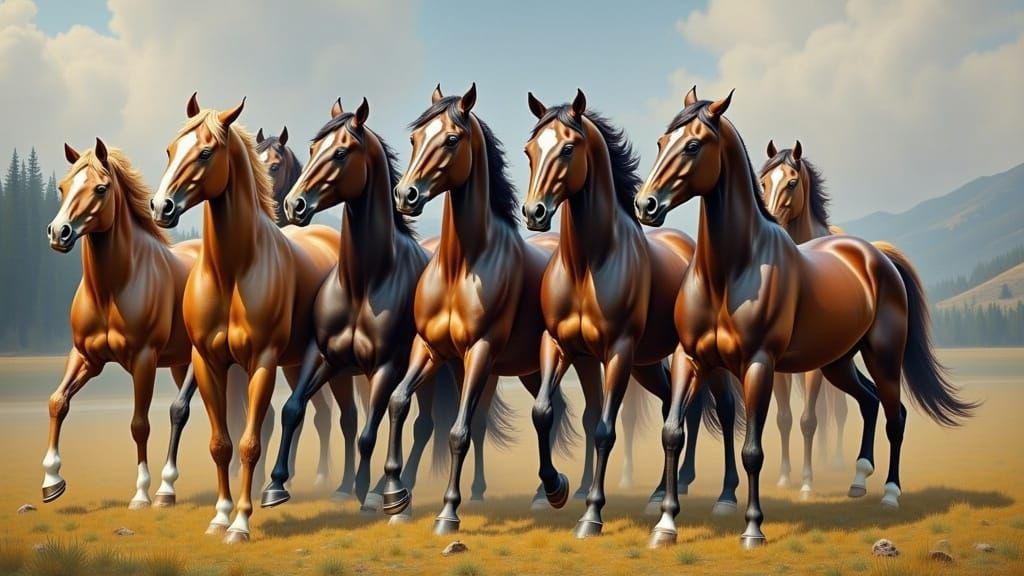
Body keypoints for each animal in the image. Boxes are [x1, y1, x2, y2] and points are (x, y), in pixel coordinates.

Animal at [43, 140, 206, 509]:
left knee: (182, 410)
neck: (112, 289)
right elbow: (58, 401)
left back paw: (166, 491)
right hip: (180, 363)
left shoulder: (143, 360)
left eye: (101, 189)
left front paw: (142, 494)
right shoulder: (85, 357)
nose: (59, 233)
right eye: (62, 187)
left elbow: (139, 424)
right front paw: (51, 482)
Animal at [379, 84, 603, 535]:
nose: (406, 196)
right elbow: (398, 401)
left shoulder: (480, 351)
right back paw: (546, 491)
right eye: (414, 138)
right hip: (530, 369)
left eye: (451, 139)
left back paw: (568, 491)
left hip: (581, 359)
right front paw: (395, 496)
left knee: (590, 418)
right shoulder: (429, 348)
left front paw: (448, 514)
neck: (461, 265)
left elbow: (459, 431)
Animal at [521, 90, 740, 538]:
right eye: (530, 150)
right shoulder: (557, 344)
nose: (534, 213)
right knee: (673, 405)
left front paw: (591, 516)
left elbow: (605, 429)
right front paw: (555, 489)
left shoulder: (618, 352)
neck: (588, 263)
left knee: (725, 410)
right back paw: (659, 494)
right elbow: (542, 412)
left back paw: (725, 497)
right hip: (649, 363)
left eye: (567, 148)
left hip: (689, 359)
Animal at [759, 140, 854, 496]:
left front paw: (808, 483)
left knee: (837, 409)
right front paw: (786, 477)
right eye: (763, 181)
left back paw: (835, 461)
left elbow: (809, 419)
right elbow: (785, 418)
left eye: (792, 182)